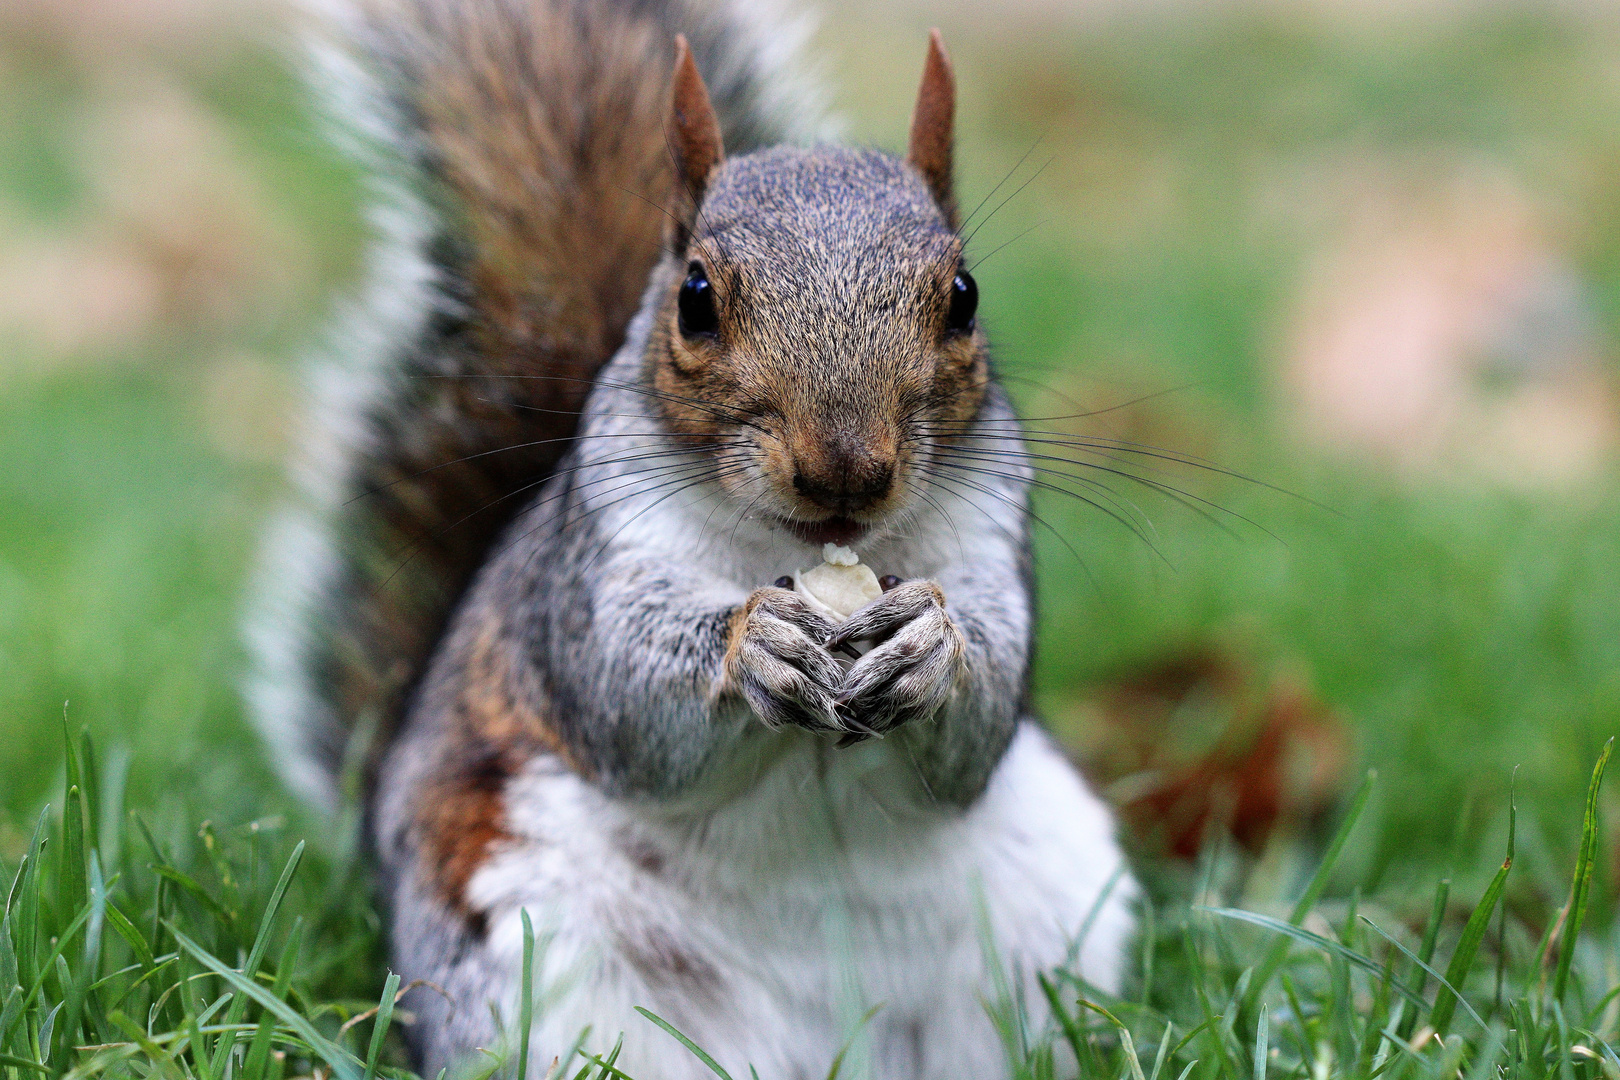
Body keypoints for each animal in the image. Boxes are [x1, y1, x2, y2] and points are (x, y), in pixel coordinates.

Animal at [249, 0, 1140, 1075]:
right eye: (696, 297)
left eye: (964, 294)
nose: (845, 473)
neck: (793, 553)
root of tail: (817, 1046)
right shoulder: (590, 574)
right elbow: (627, 695)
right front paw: (753, 642)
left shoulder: (991, 538)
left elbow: (982, 713)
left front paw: (931, 643)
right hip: (526, 937)